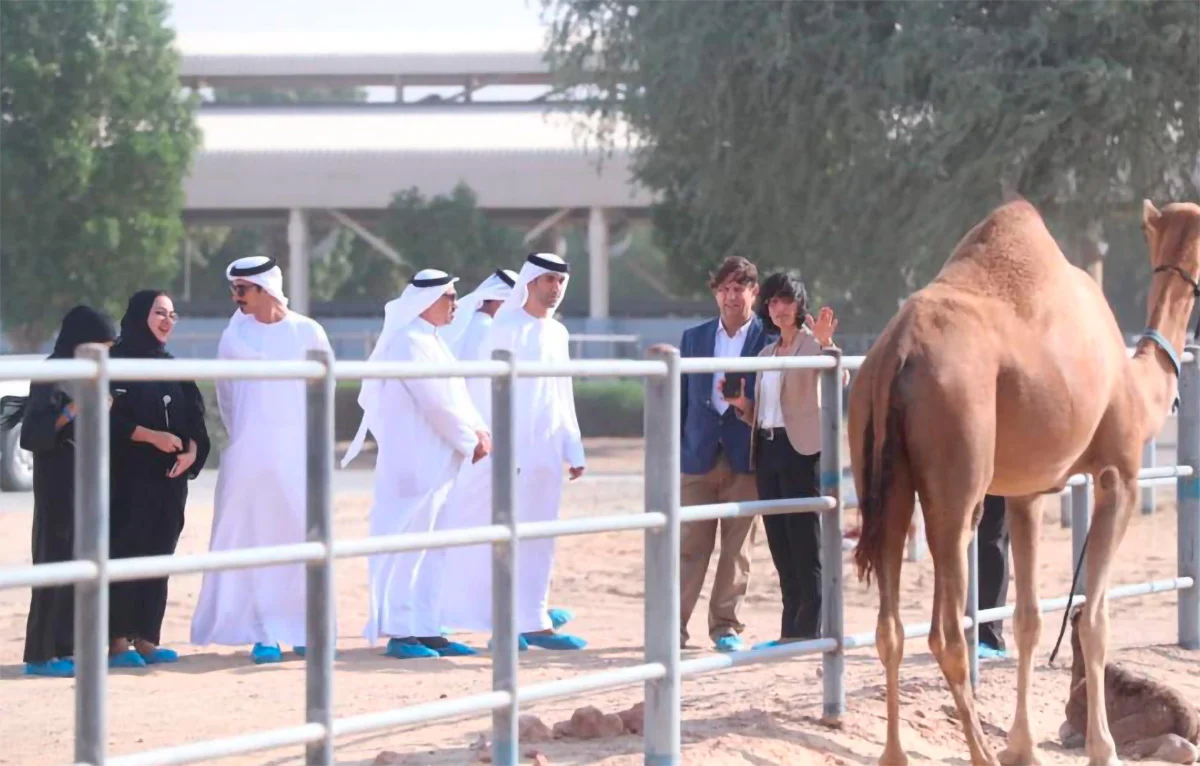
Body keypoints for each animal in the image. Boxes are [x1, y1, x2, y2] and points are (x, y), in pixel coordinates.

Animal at [848, 197, 1200, 766]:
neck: (1135, 383)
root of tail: (896, 353)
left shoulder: (1027, 492)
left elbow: (1030, 618)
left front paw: (1024, 746)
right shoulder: (1119, 475)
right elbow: (1094, 618)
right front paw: (1102, 747)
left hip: (879, 470)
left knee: (890, 624)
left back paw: (896, 754)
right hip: (957, 466)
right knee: (947, 631)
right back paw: (979, 753)